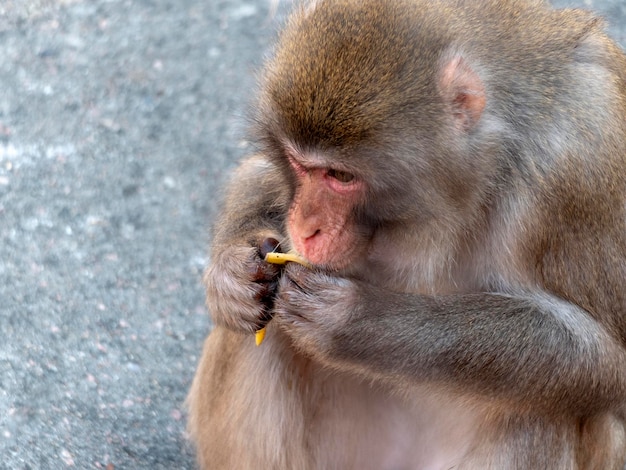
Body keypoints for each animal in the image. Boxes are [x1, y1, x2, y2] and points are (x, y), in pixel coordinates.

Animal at [188, 0, 624, 468]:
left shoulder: (576, 166)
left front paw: (355, 320)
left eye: (341, 176)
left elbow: (606, 362)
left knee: (548, 404)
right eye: (298, 164)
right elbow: (261, 176)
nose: (305, 228)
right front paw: (231, 276)